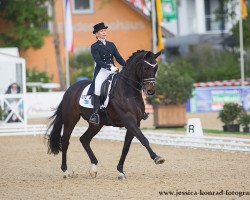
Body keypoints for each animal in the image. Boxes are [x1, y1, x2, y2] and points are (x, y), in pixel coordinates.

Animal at [46, 49, 166, 180]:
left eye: (156, 68)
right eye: (145, 68)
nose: (150, 91)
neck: (128, 92)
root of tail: (70, 89)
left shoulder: (135, 123)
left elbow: (126, 146)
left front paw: (120, 171)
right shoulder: (129, 120)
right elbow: (143, 139)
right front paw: (157, 158)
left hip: (96, 124)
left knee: (84, 139)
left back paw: (93, 168)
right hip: (71, 119)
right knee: (65, 141)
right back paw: (65, 171)